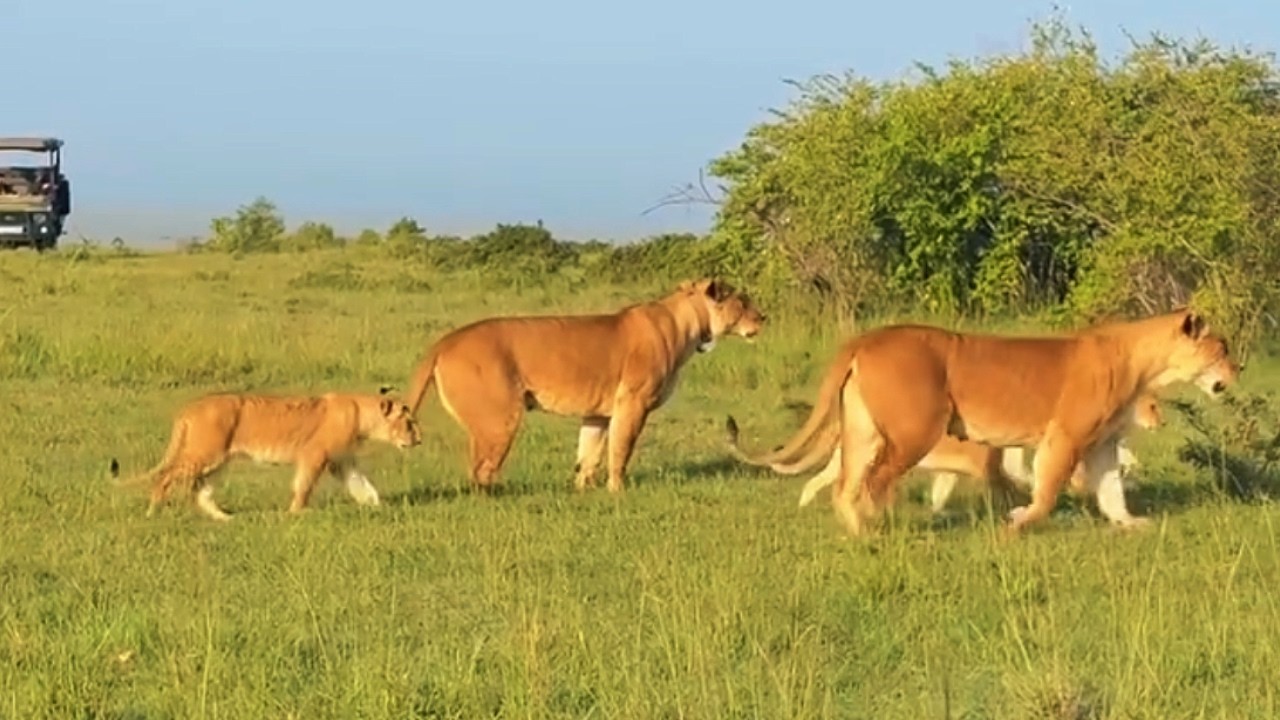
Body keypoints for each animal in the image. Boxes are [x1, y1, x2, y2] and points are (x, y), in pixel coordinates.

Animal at [109, 390, 422, 521]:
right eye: (408, 423)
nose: (419, 439)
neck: (362, 414)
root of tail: (189, 407)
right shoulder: (314, 454)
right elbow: (304, 485)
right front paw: (297, 513)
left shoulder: (341, 461)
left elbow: (363, 485)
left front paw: (377, 507)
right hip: (205, 453)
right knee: (165, 476)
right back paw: (153, 511)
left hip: (218, 462)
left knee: (201, 491)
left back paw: (225, 518)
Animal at [403, 278, 765, 494]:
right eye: (743, 301)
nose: (762, 318)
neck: (688, 324)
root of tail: (444, 341)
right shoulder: (633, 402)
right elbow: (621, 449)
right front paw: (617, 490)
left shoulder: (598, 413)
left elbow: (588, 453)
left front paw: (583, 490)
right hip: (500, 417)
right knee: (481, 468)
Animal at [726, 308, 1237, 536]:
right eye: (1223, 349)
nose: (1239, 370)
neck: (1144, 363)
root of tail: (865, 338)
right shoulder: (1066, 434)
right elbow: (1047, 490)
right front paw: (1019, 520)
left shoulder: (1102, 444)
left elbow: (1112, 488)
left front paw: (1131, 523)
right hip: (914, 430)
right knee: (873, 482)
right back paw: (881, 529)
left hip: (861, 431)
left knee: (844, 484)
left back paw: (858, 532)